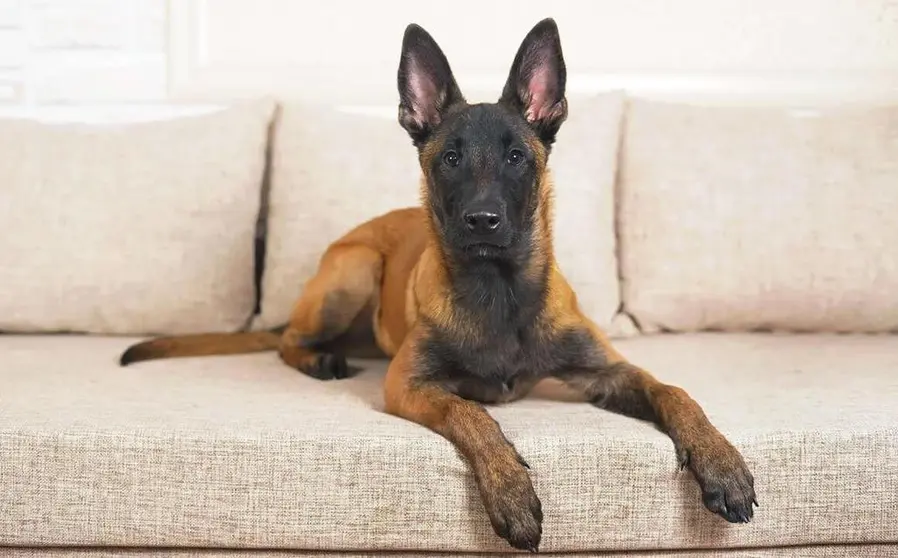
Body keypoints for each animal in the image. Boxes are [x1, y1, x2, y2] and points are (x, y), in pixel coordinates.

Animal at [122, 18, 756, 556]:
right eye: (450, 159)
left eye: (517, 157)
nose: (482, 221)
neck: (500, 294)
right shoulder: (408, 385)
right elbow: (471, 413)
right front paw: (510, 488)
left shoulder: (608, 373)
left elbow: (674, 391)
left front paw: (721, 461)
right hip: (354, 271)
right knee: (286, 342)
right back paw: (320, 359)